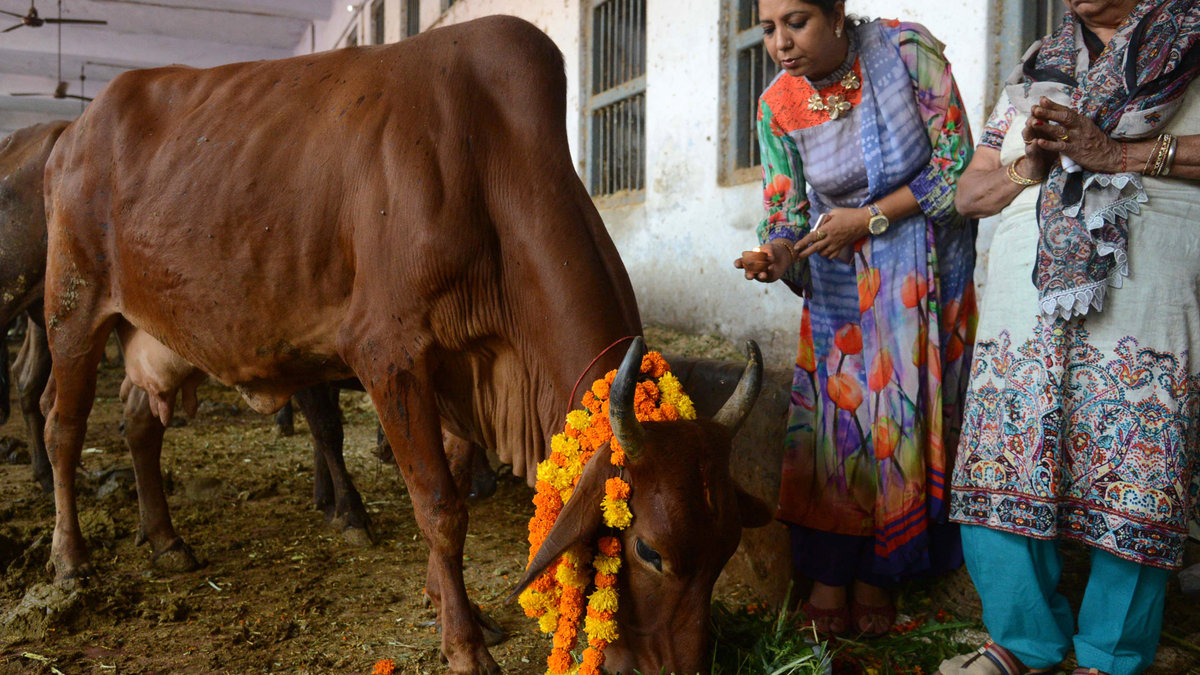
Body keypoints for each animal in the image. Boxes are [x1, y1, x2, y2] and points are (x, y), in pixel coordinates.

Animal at [40, 15, 769, 674]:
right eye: (649, 550)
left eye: (727, 547)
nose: (677, 669)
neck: (490, 158)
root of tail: (72, 133)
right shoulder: (387, 354)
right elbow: (441, 507)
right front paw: (465, 644)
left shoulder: (457, 372)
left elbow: (452, 474)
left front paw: (453, 607)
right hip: (73, 309)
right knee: (62, 427)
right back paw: (69, 560)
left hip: (151, 337)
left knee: (139, 423)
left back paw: (165, 540)